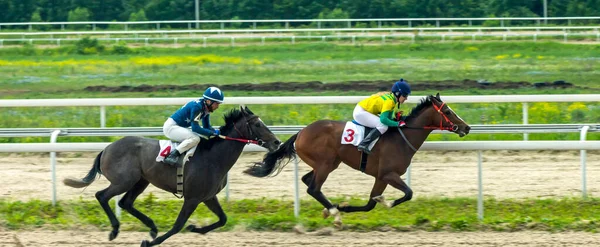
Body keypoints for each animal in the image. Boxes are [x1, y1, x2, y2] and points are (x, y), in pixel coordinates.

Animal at [64, 105, 280, 245]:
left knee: (125, 202)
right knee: (102, 196)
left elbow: (223, 219)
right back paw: (115, 230)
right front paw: (151, 242)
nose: (277, 142)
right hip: (123, 181)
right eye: (257, 124)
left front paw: (195, 229)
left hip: (141, 181)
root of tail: (107, 148)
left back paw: (151, 227)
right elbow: (177, 225)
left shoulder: (208, 196)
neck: (214, 158)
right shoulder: (193, 198)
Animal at [244, 94, 468, 226]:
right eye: (447, 111)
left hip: (328, 163)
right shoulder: (388, 174)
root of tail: (300, 132)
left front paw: (346, 206)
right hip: (325, 164)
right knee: (313, 188)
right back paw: (334, 213)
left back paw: (331, 209)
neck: (402, 138)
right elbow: (408, 193)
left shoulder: (380, 177)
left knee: (308, 181)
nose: (466, 128)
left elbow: (370, 203)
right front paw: (385, 202)